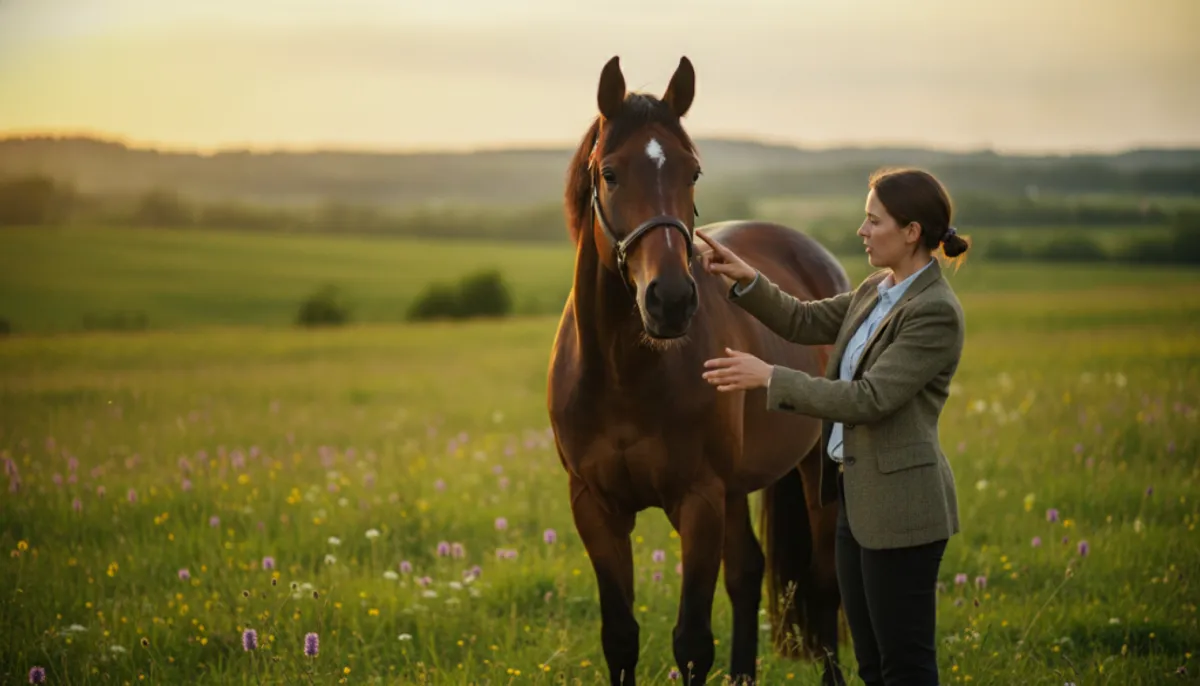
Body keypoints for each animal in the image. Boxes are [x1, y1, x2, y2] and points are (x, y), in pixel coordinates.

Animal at [546, 55, 851, 686]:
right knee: (747, 573)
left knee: (822, 582)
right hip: (736, 489)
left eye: (693, 172)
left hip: (813, 471)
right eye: (610, 173)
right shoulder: (595, 506)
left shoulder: (699, 501)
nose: (670, 300)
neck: (623, 374)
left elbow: (690, 641)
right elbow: (620, 637)